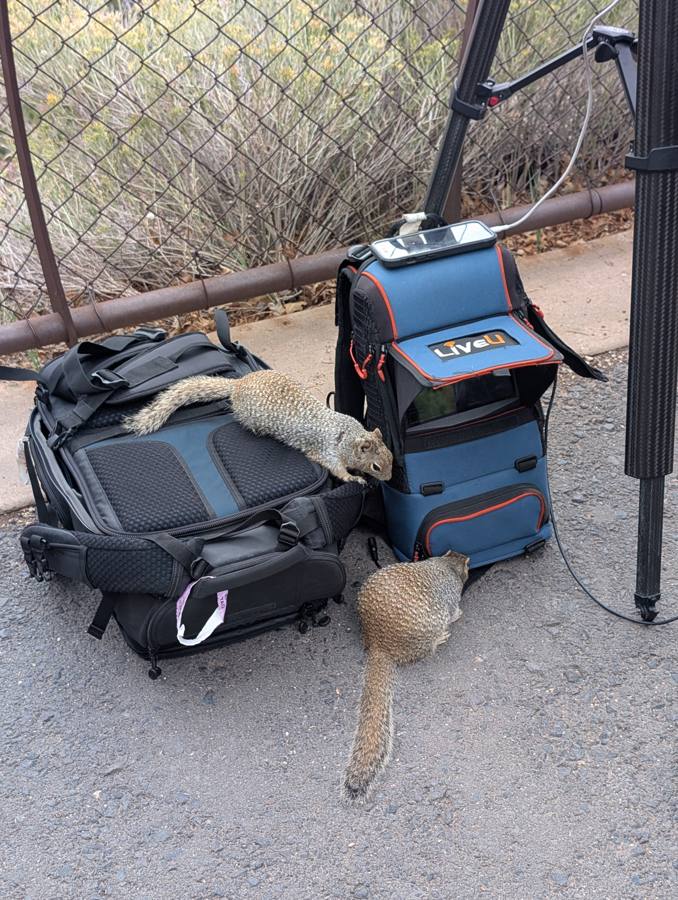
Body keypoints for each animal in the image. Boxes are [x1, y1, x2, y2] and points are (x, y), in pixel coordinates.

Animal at [124, 370, 393, 484]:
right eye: (376, 467)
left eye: (391, 457)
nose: (390, 479)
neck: (347, 437)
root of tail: (237, 384)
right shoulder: (326, 451)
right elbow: (336, 469)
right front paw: (354, 478)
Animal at [342, 550, 469, 803]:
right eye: (468, 568)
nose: (471, 565)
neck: (446, 565)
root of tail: (379, 643)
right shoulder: (452, 598)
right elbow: (455, 610)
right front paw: (459, 614)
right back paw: (440, 638)